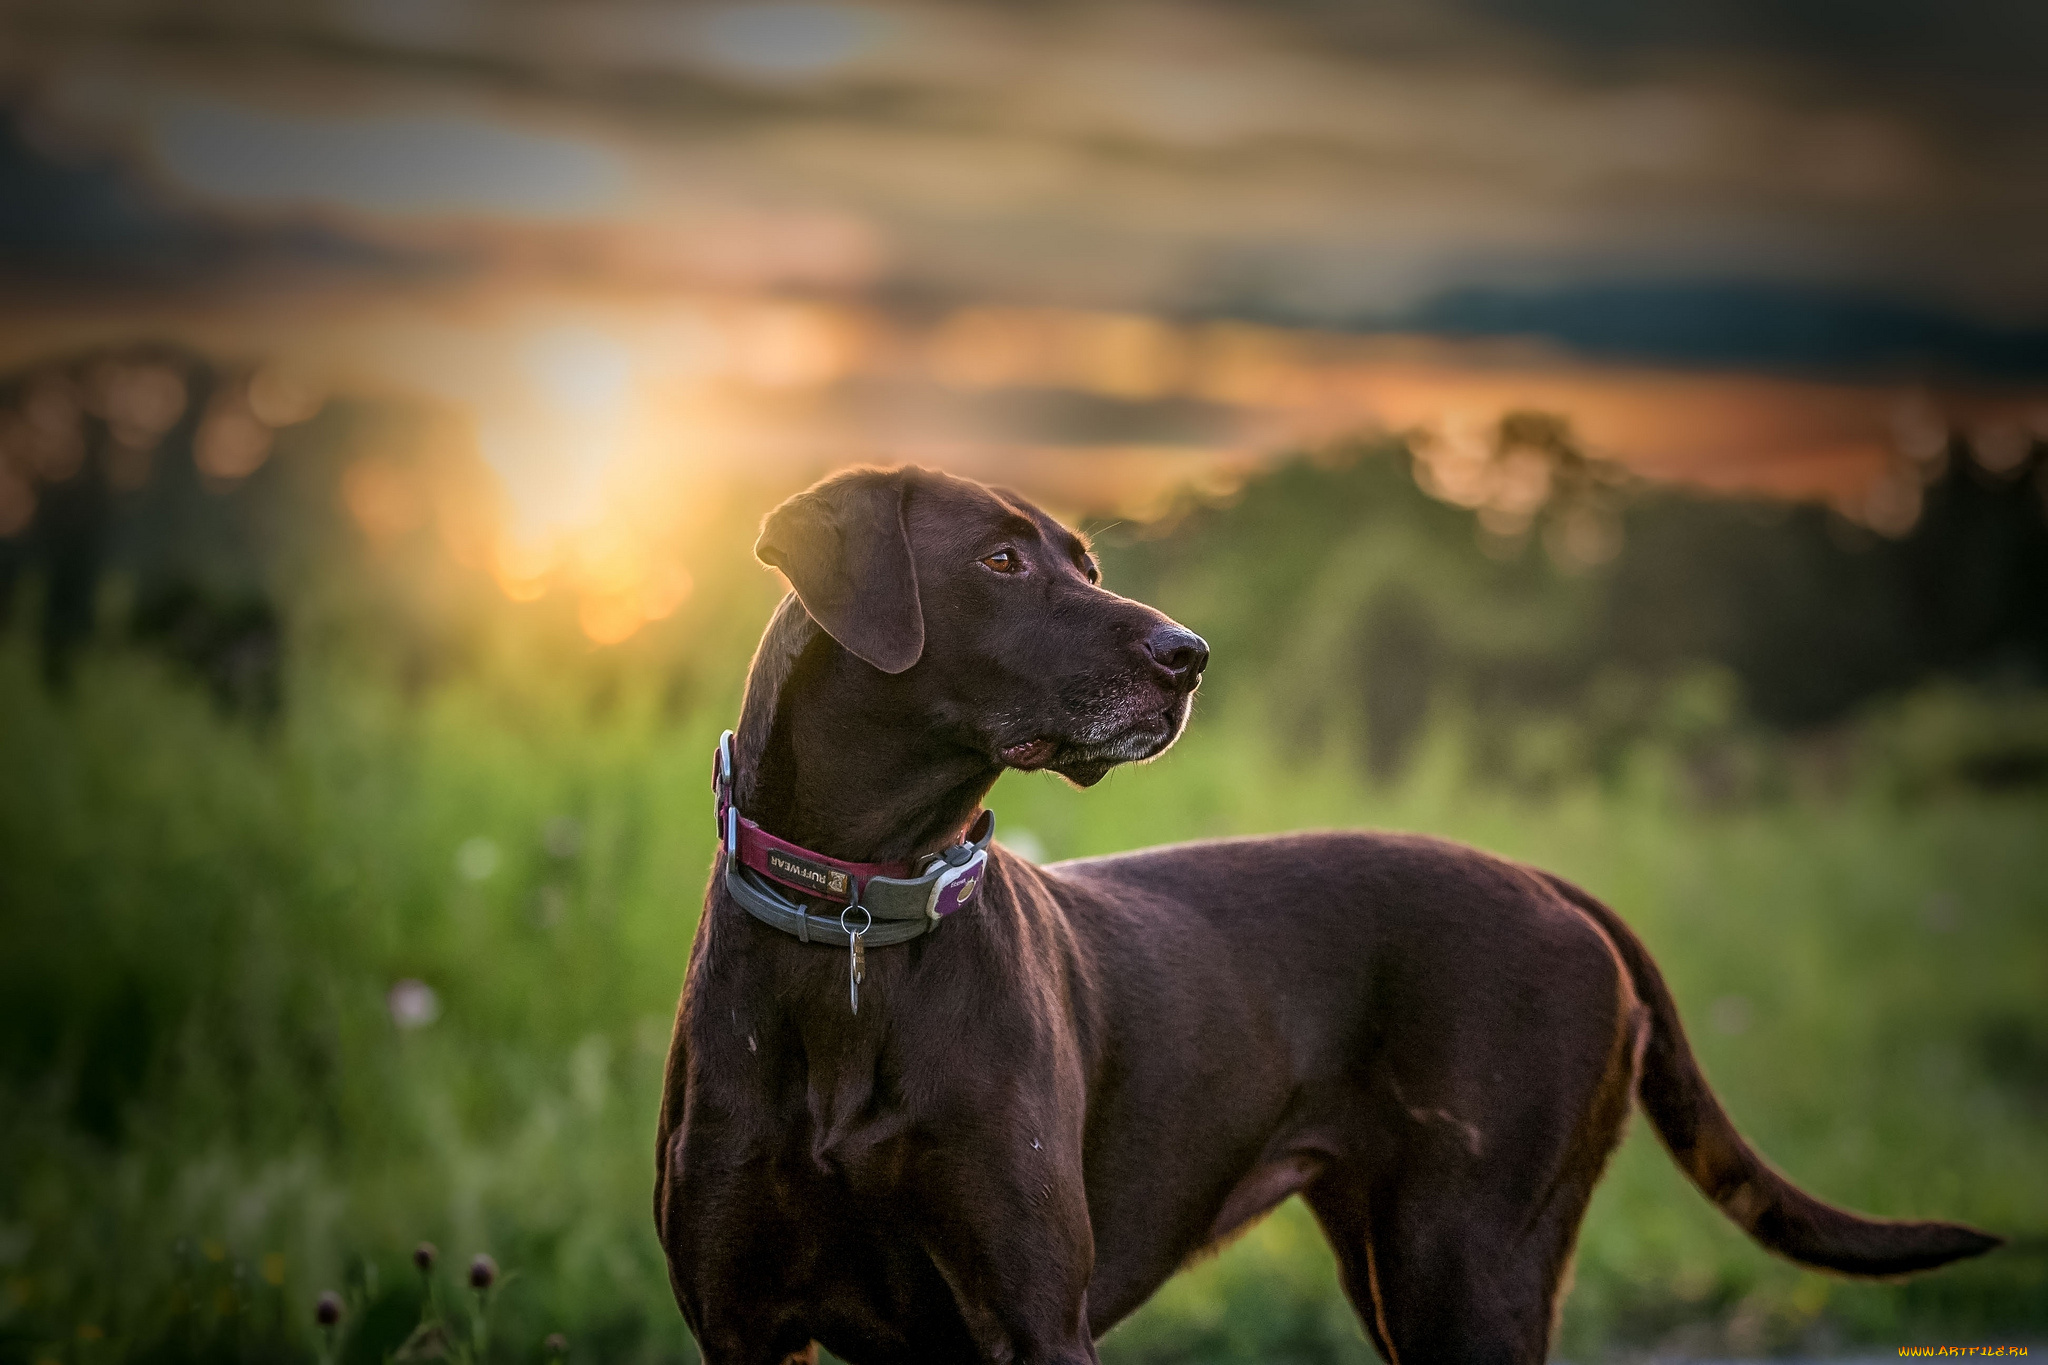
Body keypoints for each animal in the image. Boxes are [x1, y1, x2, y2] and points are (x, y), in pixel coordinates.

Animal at [655, 466, 1998, 1365]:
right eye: (997, 562)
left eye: (1086, 563)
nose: (1189, 654)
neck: (858, 913)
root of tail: (1552, 887)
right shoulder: (741, 1320)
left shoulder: (1030, 1317)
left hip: (1469, 1263)